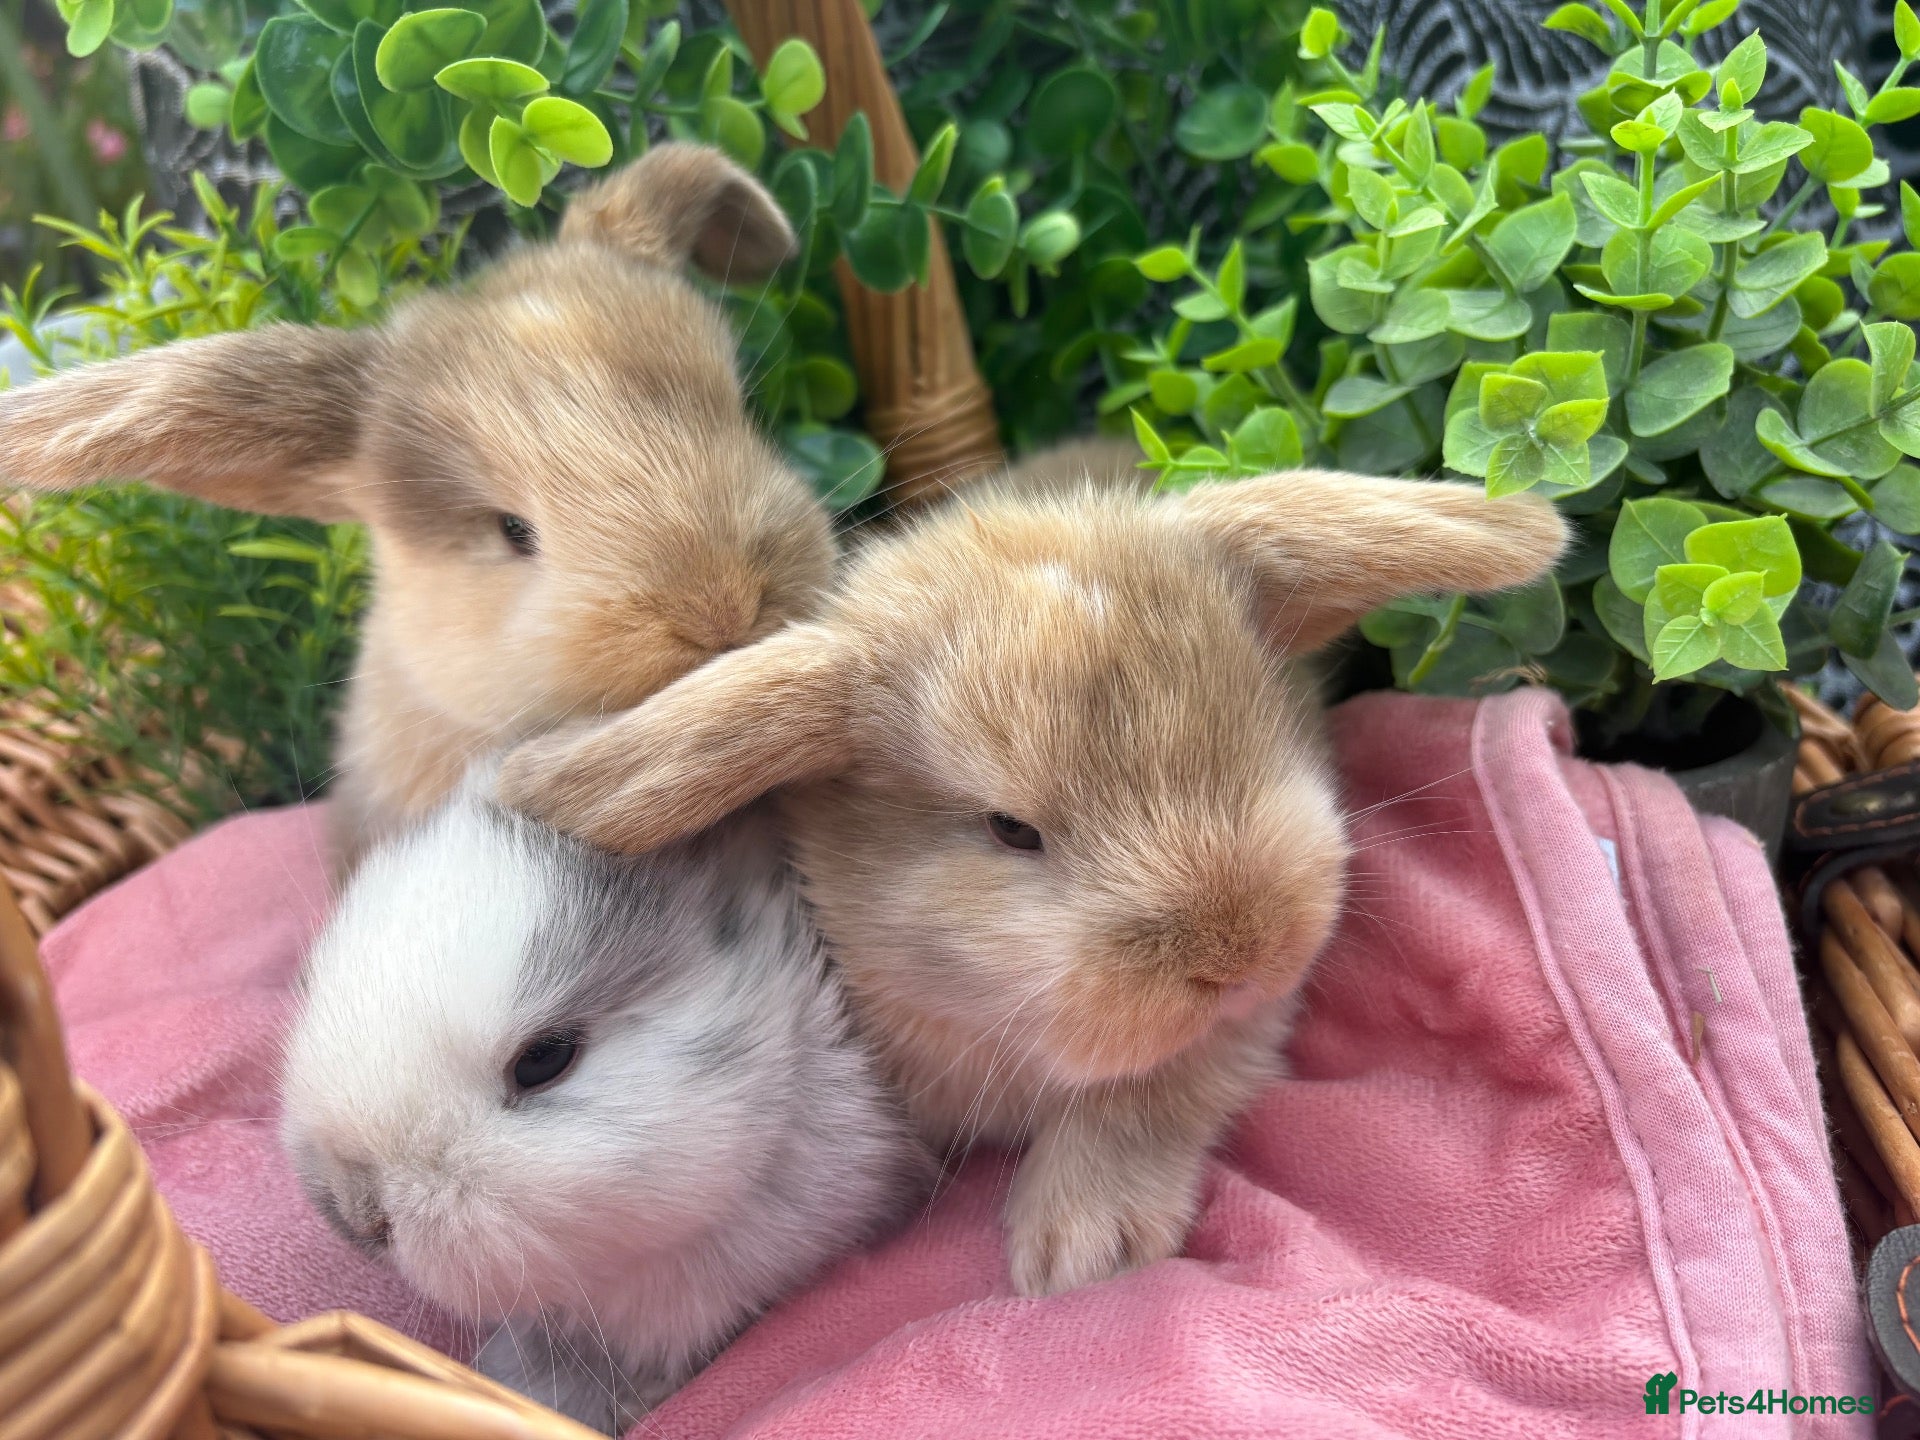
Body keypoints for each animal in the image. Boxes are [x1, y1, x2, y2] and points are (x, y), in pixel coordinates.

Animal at [492, 458, 1569, 1299]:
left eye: (1254, 732)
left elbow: (1155, 1087)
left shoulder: (1240, 1028)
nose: (1244, 953)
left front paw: (1081, 1246)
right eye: (1011, 830)